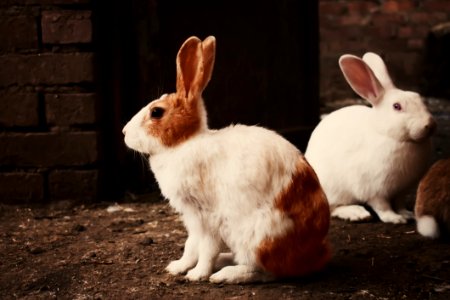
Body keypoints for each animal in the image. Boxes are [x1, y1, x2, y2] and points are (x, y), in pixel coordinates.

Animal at [122, 37, 330, 284]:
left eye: (156, 112)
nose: (124, 132)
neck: (183, 143)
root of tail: (314, 255)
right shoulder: (192, 219)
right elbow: (190, 245)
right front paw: (177, 267)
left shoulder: (207, 217)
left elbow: (206, 248)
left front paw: (197, 274)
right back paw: (224, 261)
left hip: (257, 237)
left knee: (265, 271)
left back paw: (224, 275)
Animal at [306, 52, 436, 223]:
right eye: (397, 106)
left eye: (419, 97)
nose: (430, 124)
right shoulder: (374, 189)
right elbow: (382, 206)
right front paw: (394, 218)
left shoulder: (402, 190)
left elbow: (400, 203)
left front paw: (408, 214)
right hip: (332, 189)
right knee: (332, 208)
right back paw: (357, 213)